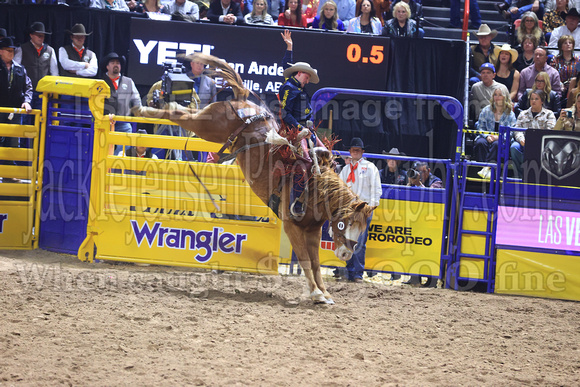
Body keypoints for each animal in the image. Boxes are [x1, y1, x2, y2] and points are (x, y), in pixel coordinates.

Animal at [134, 53, 374, 304]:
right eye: (346, 223)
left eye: (362, 227)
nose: (346, 253)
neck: (315, 187)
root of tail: (242, 99)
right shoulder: (292, 226)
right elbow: (306, 260)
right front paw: (316, 293)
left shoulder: (312, 231)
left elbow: (316, 263)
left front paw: (324, 293)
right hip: (207, 125)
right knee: (180, 114)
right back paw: (144, 107)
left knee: (182, 113)